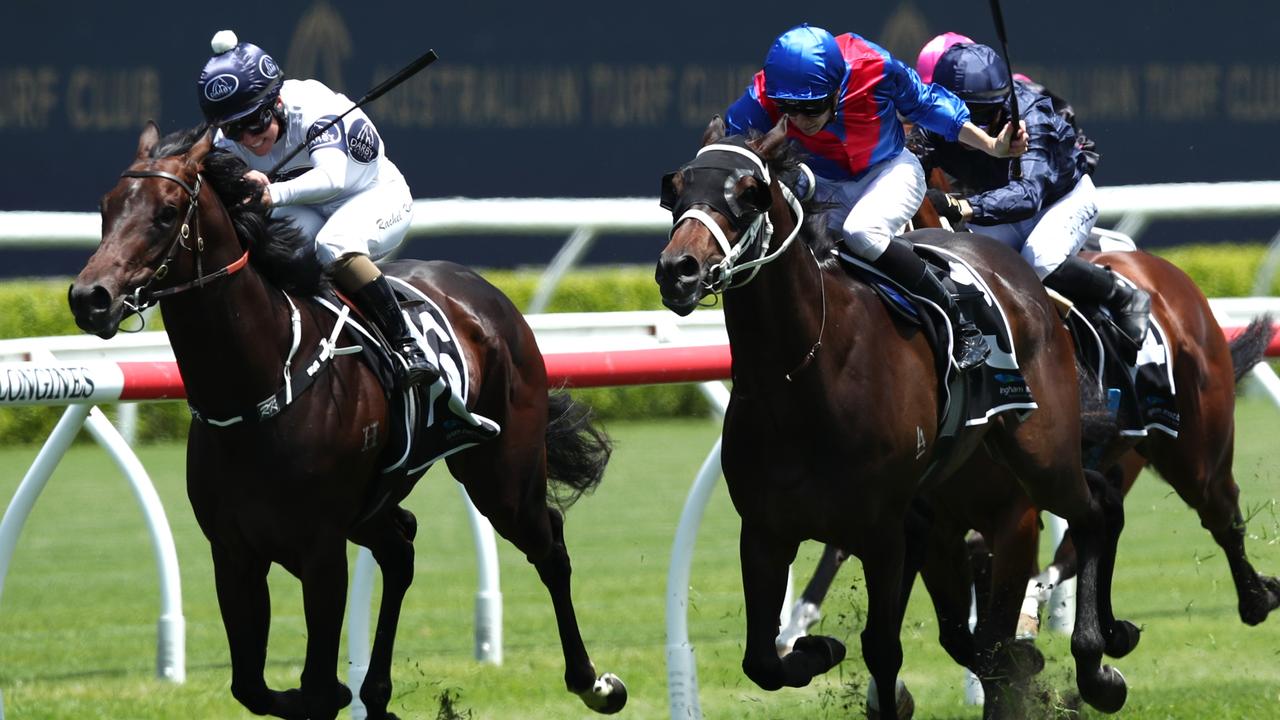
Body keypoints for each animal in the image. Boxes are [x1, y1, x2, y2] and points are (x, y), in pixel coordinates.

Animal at [67, 122, 627, 717]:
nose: (90, 298)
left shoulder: (320, 551)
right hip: (375, 505)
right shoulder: (235, 552)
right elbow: (253, 687)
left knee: (550, 544)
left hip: (503, 479)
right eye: (106, 207)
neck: (260, 388)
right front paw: (346, 690)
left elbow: (314, 686)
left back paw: (593, 683)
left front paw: (335, 688)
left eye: (168, 211)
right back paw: (377, 692)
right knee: (401, 550)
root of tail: (491, 296)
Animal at [655, 117, 1136, 717]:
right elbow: (762, 661)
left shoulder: (886, 529)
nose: (678, 270)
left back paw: (1098, 663)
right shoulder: (766, 531)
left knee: (1094, 510)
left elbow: (886, 649)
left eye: (748, 193)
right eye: (676, 189)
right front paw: (816, 648)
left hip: (1040, 457)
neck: (801, 377)